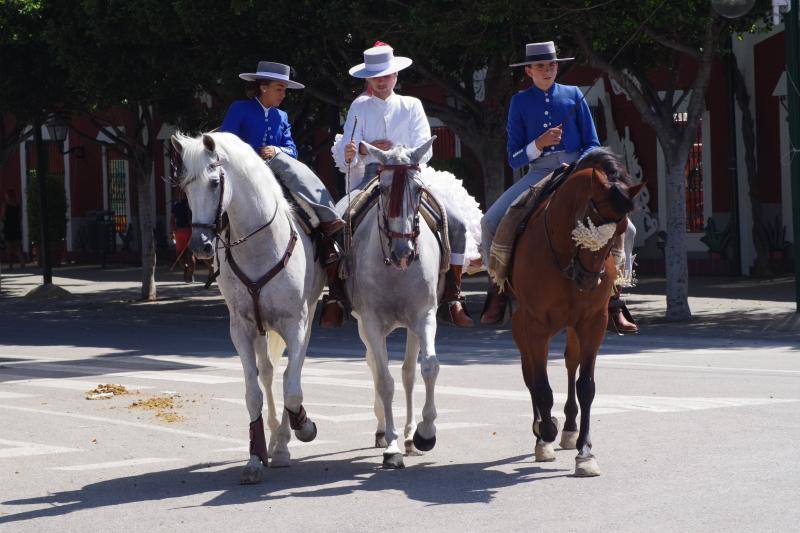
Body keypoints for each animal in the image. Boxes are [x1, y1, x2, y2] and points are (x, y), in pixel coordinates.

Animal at [170, 132, 324, 482]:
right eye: (185, 185)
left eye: (215, 182)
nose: (200, 245)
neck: (259, 245)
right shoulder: (241, 328)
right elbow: (253, 393)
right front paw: (255, 458)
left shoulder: (295, 324)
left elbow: (292, 387)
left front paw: (304, 426)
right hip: (260, 330)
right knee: (267, 373)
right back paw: (275, 442)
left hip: (305, 318)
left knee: (287, 375)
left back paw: (283, 444)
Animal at [344, 138, 444, 470]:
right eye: (383, 189)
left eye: (418, 188)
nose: (403, 251)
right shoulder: (371, 321)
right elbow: (385, 381)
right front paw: (391, 446)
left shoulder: (425, 315)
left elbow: (428, 368)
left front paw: (425, 433)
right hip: (364, 327)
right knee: (376, 368)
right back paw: (381, 430)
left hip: (411, 327)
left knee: (408, 373)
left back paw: (411, 435)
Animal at [512, 148, 644, 476]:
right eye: (588, 222)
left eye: (621, 229)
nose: (588, 279)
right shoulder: (535, 323)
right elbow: (541, 384)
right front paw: (545, 432)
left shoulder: (593, 322)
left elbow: (586, 386)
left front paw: (585, 452)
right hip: (522, 324)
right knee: (529, 370)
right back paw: (542, 430)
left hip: (572, 325)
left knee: (570, 362)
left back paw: (569, 427)